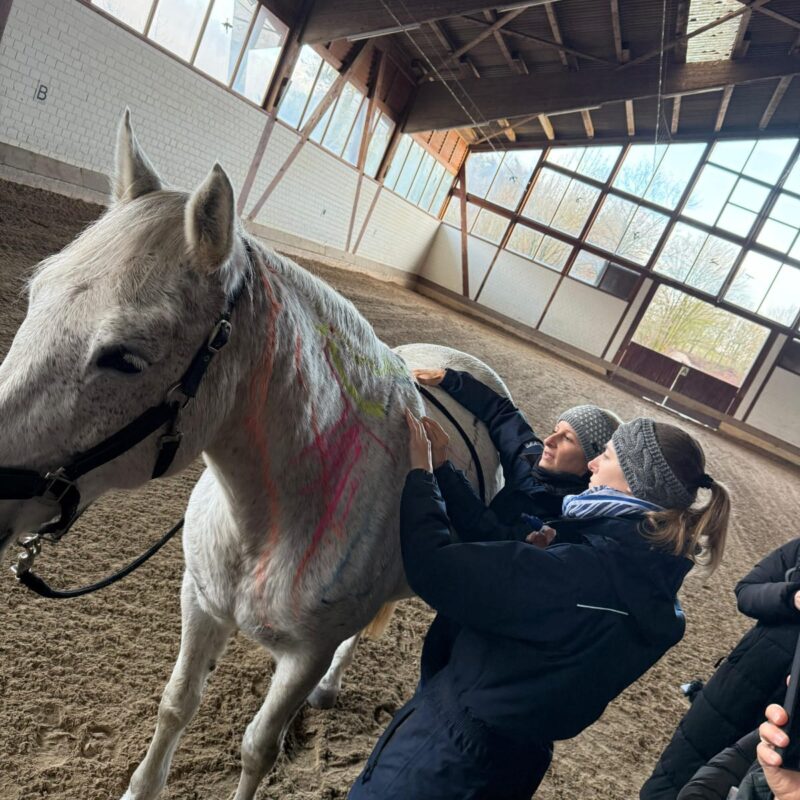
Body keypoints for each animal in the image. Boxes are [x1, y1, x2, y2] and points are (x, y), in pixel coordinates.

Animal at [0, 112, 509, 800]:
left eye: (124, 356)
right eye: (34, 297)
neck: (271, 517)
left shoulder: (303, 655)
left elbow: (258, 747)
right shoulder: (201, 602)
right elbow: (176, 704)